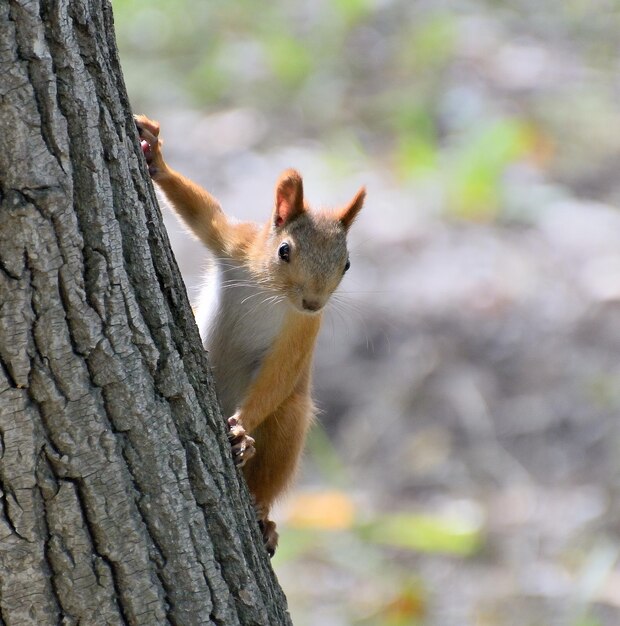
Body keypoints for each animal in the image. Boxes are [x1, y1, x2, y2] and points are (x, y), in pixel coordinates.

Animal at [134, 114, 364, 552]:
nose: (313, 301)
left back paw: (263, 513)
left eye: (346, 264)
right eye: (284, 250)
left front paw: (240, 427)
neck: (269, 290)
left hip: (289, 422)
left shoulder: (303, 329)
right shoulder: (235, 244)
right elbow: (202, 212)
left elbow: (279, 373)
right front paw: (155, 156)